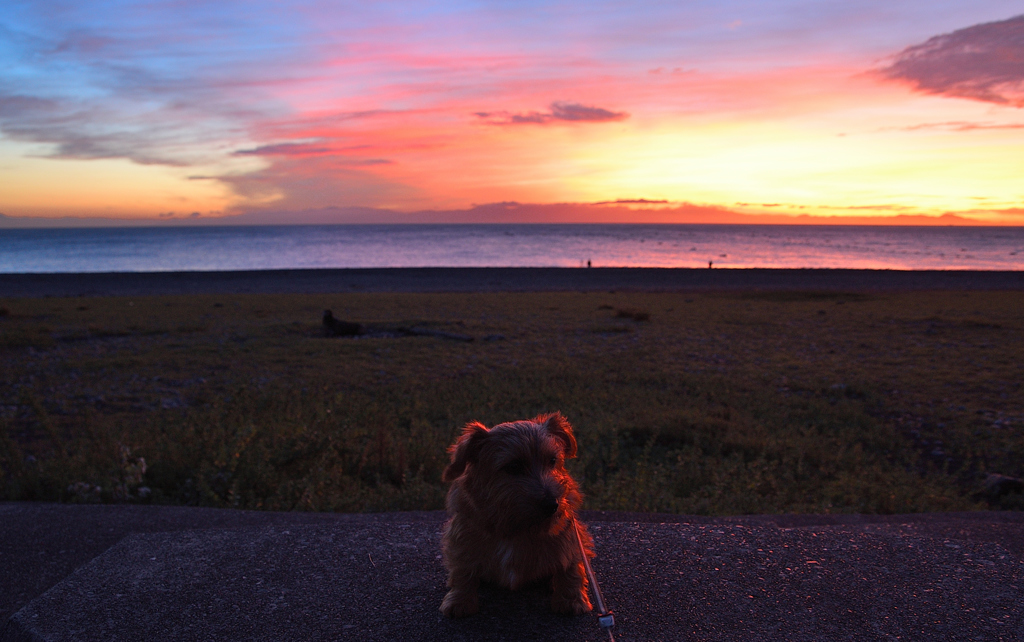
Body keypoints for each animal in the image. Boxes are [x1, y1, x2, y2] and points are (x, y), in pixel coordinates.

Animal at [438, 411, 593, 618]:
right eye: (513, 467)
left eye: (552, 460)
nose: (552, 504)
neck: (515, 523)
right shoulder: (462, 535)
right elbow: (462, 569)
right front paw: (459, 599)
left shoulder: (569, 535)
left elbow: (571, 565)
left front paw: (571, 600)